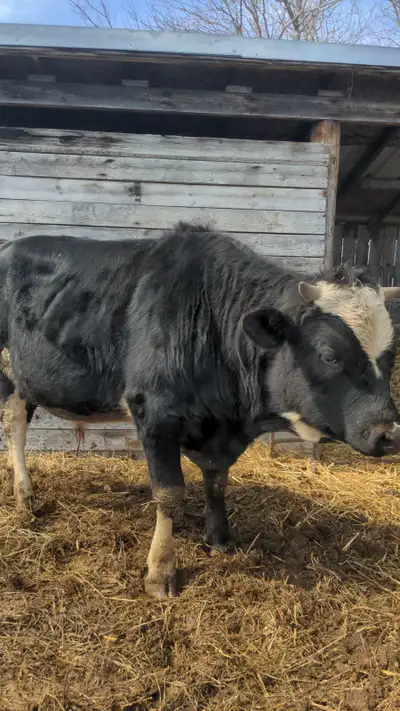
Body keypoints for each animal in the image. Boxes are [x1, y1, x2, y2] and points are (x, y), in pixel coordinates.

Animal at [1, 222, 400, 599]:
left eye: (391, 356)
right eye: (329, 355)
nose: (389, 432)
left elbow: (217, 481)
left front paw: (220, 538)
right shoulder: (153, 411)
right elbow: (168, 493)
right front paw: (161, 570)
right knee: (14, 427)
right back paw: (25, 495)